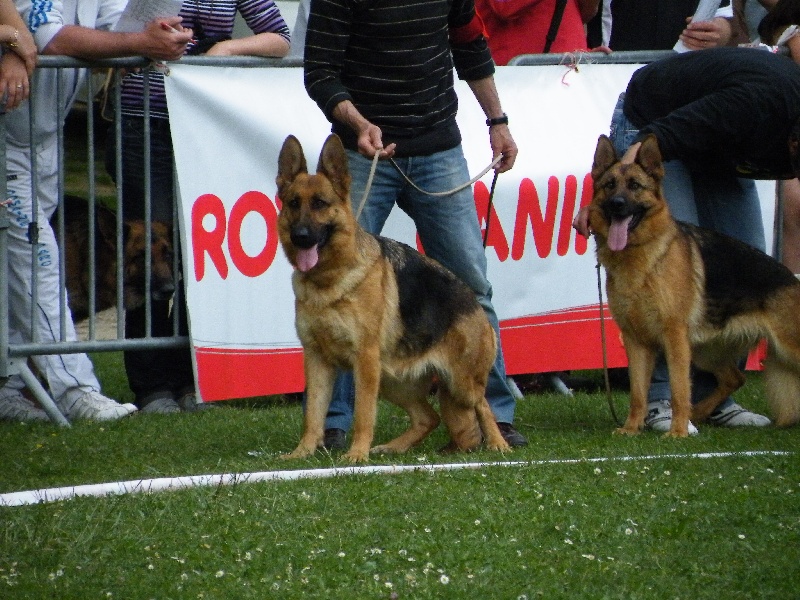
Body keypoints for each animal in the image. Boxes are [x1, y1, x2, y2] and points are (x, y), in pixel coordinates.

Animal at [278, 135, 510, 464]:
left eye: (320, 204)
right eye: (293, 204)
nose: (300, 236)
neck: (329, 279)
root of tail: (476, 306)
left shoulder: (364, 359)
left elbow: (363, 414)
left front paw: (356, 455)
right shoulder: (317, 360)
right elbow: (313, 414)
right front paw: (303, 452)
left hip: (458, 383)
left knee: (483, 406)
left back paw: (499, 444)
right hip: (392, 380)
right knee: (429, 417)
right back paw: (392, 448)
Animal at [588, 135, 800, 436]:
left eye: (635, 186)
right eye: (609, 185)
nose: (617, 204)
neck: (641, 257)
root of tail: (792, 279)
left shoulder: (674, 336)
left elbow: (678, 389)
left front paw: (677, 432)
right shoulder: (636, 342)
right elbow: (638, 393)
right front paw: (631, 428)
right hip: (704, 352)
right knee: (735, 378)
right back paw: (699, 412)